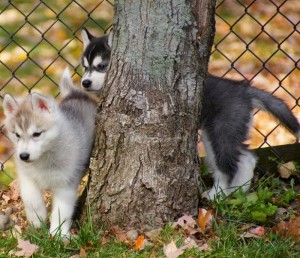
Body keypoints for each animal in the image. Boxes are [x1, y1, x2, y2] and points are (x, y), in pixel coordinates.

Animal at [2, 67, 96, 237]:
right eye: (16, 135)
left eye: (36, 134)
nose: (23, 156)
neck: (43, 158)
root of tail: (76, 94)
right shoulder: (27, 176)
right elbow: (31, 199)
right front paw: (37, 221)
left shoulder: (65, 184)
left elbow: (61, 210)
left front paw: (58, 234)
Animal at [79, 27, 300, 200]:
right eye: (85, 67)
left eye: (102, 66)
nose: (85, 82)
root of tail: (242, 89)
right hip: (218, 133)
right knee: (245, 159)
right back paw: (233, 192)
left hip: (222, 129)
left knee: (231, 164)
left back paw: (219, 195)